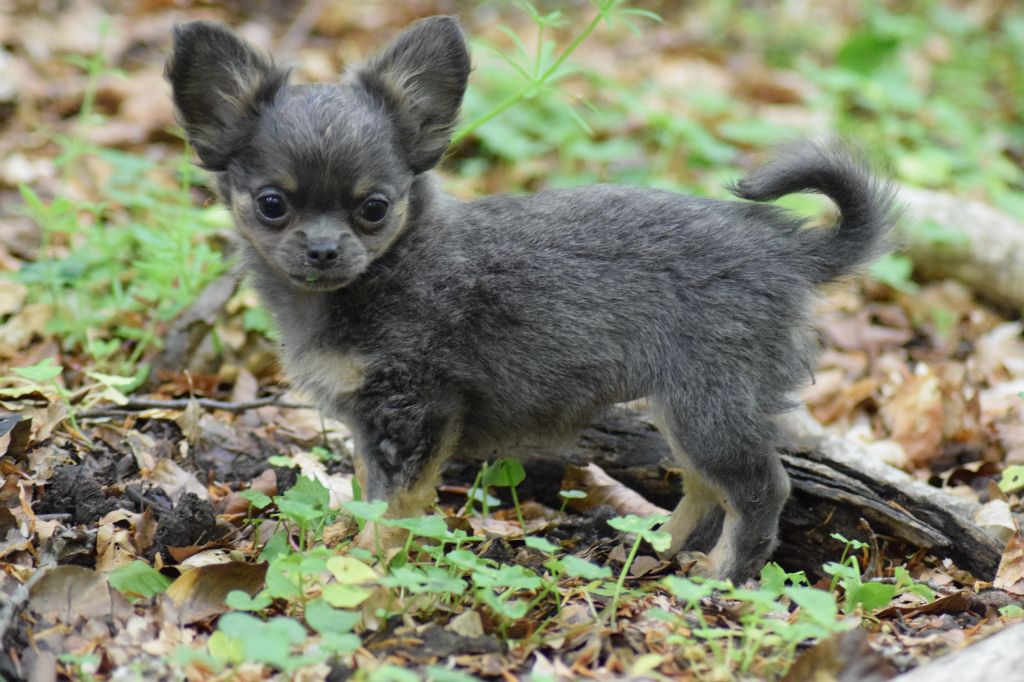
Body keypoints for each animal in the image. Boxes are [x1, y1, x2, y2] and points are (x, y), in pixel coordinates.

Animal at [163, 17, 892, 577]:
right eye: (273, 204)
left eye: (374, 209)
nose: (321, 251)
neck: (382, 273)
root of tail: (788, 248)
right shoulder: (375, 424)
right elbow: (375, 492)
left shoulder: (414, 411)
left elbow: (396, 506)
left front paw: (368, 563)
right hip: (688, 412)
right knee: (707, 489)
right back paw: (658, 547)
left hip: (708, 407)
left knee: (760, 489)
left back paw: (725, 575)